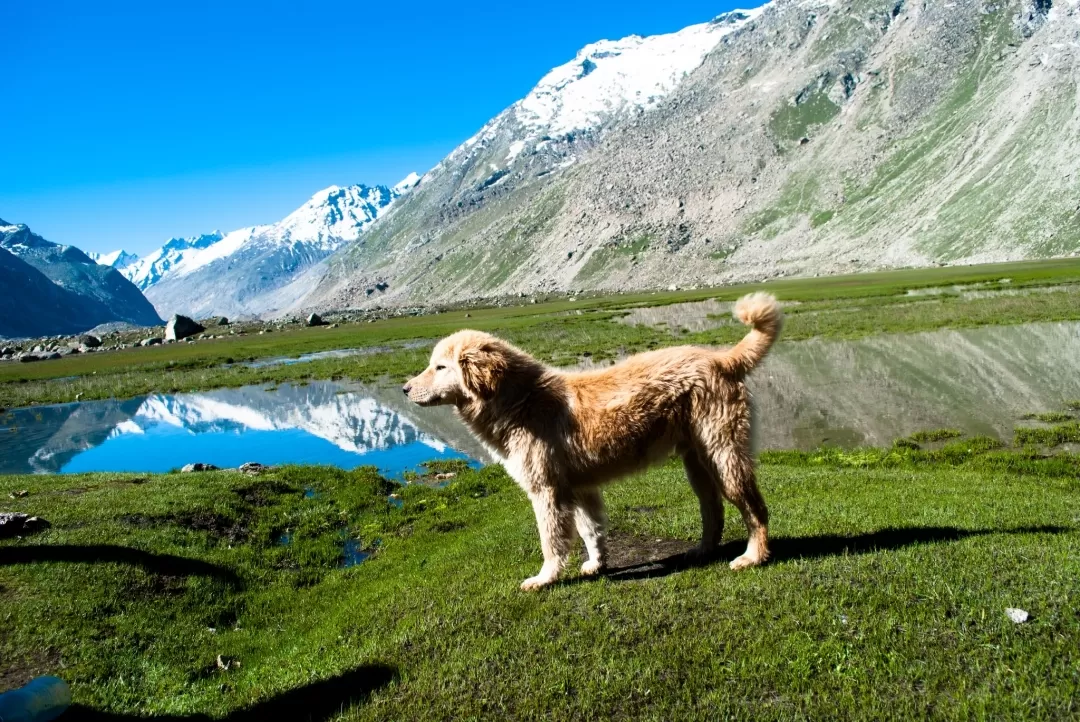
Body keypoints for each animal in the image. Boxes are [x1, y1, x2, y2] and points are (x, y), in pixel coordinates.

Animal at [406, 293, 786, 591]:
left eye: (440, 367)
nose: (406, 389)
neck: (521, 402)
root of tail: (722, 358)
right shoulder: (580, 487)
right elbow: (592, 531)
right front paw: (596, 564)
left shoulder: (547, 491)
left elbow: (551, 541)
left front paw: (545, 579)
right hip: (697, 461)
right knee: (713, 509)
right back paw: (703, 550)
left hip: (725, 455)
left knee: (755, 508)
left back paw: (754, 556)